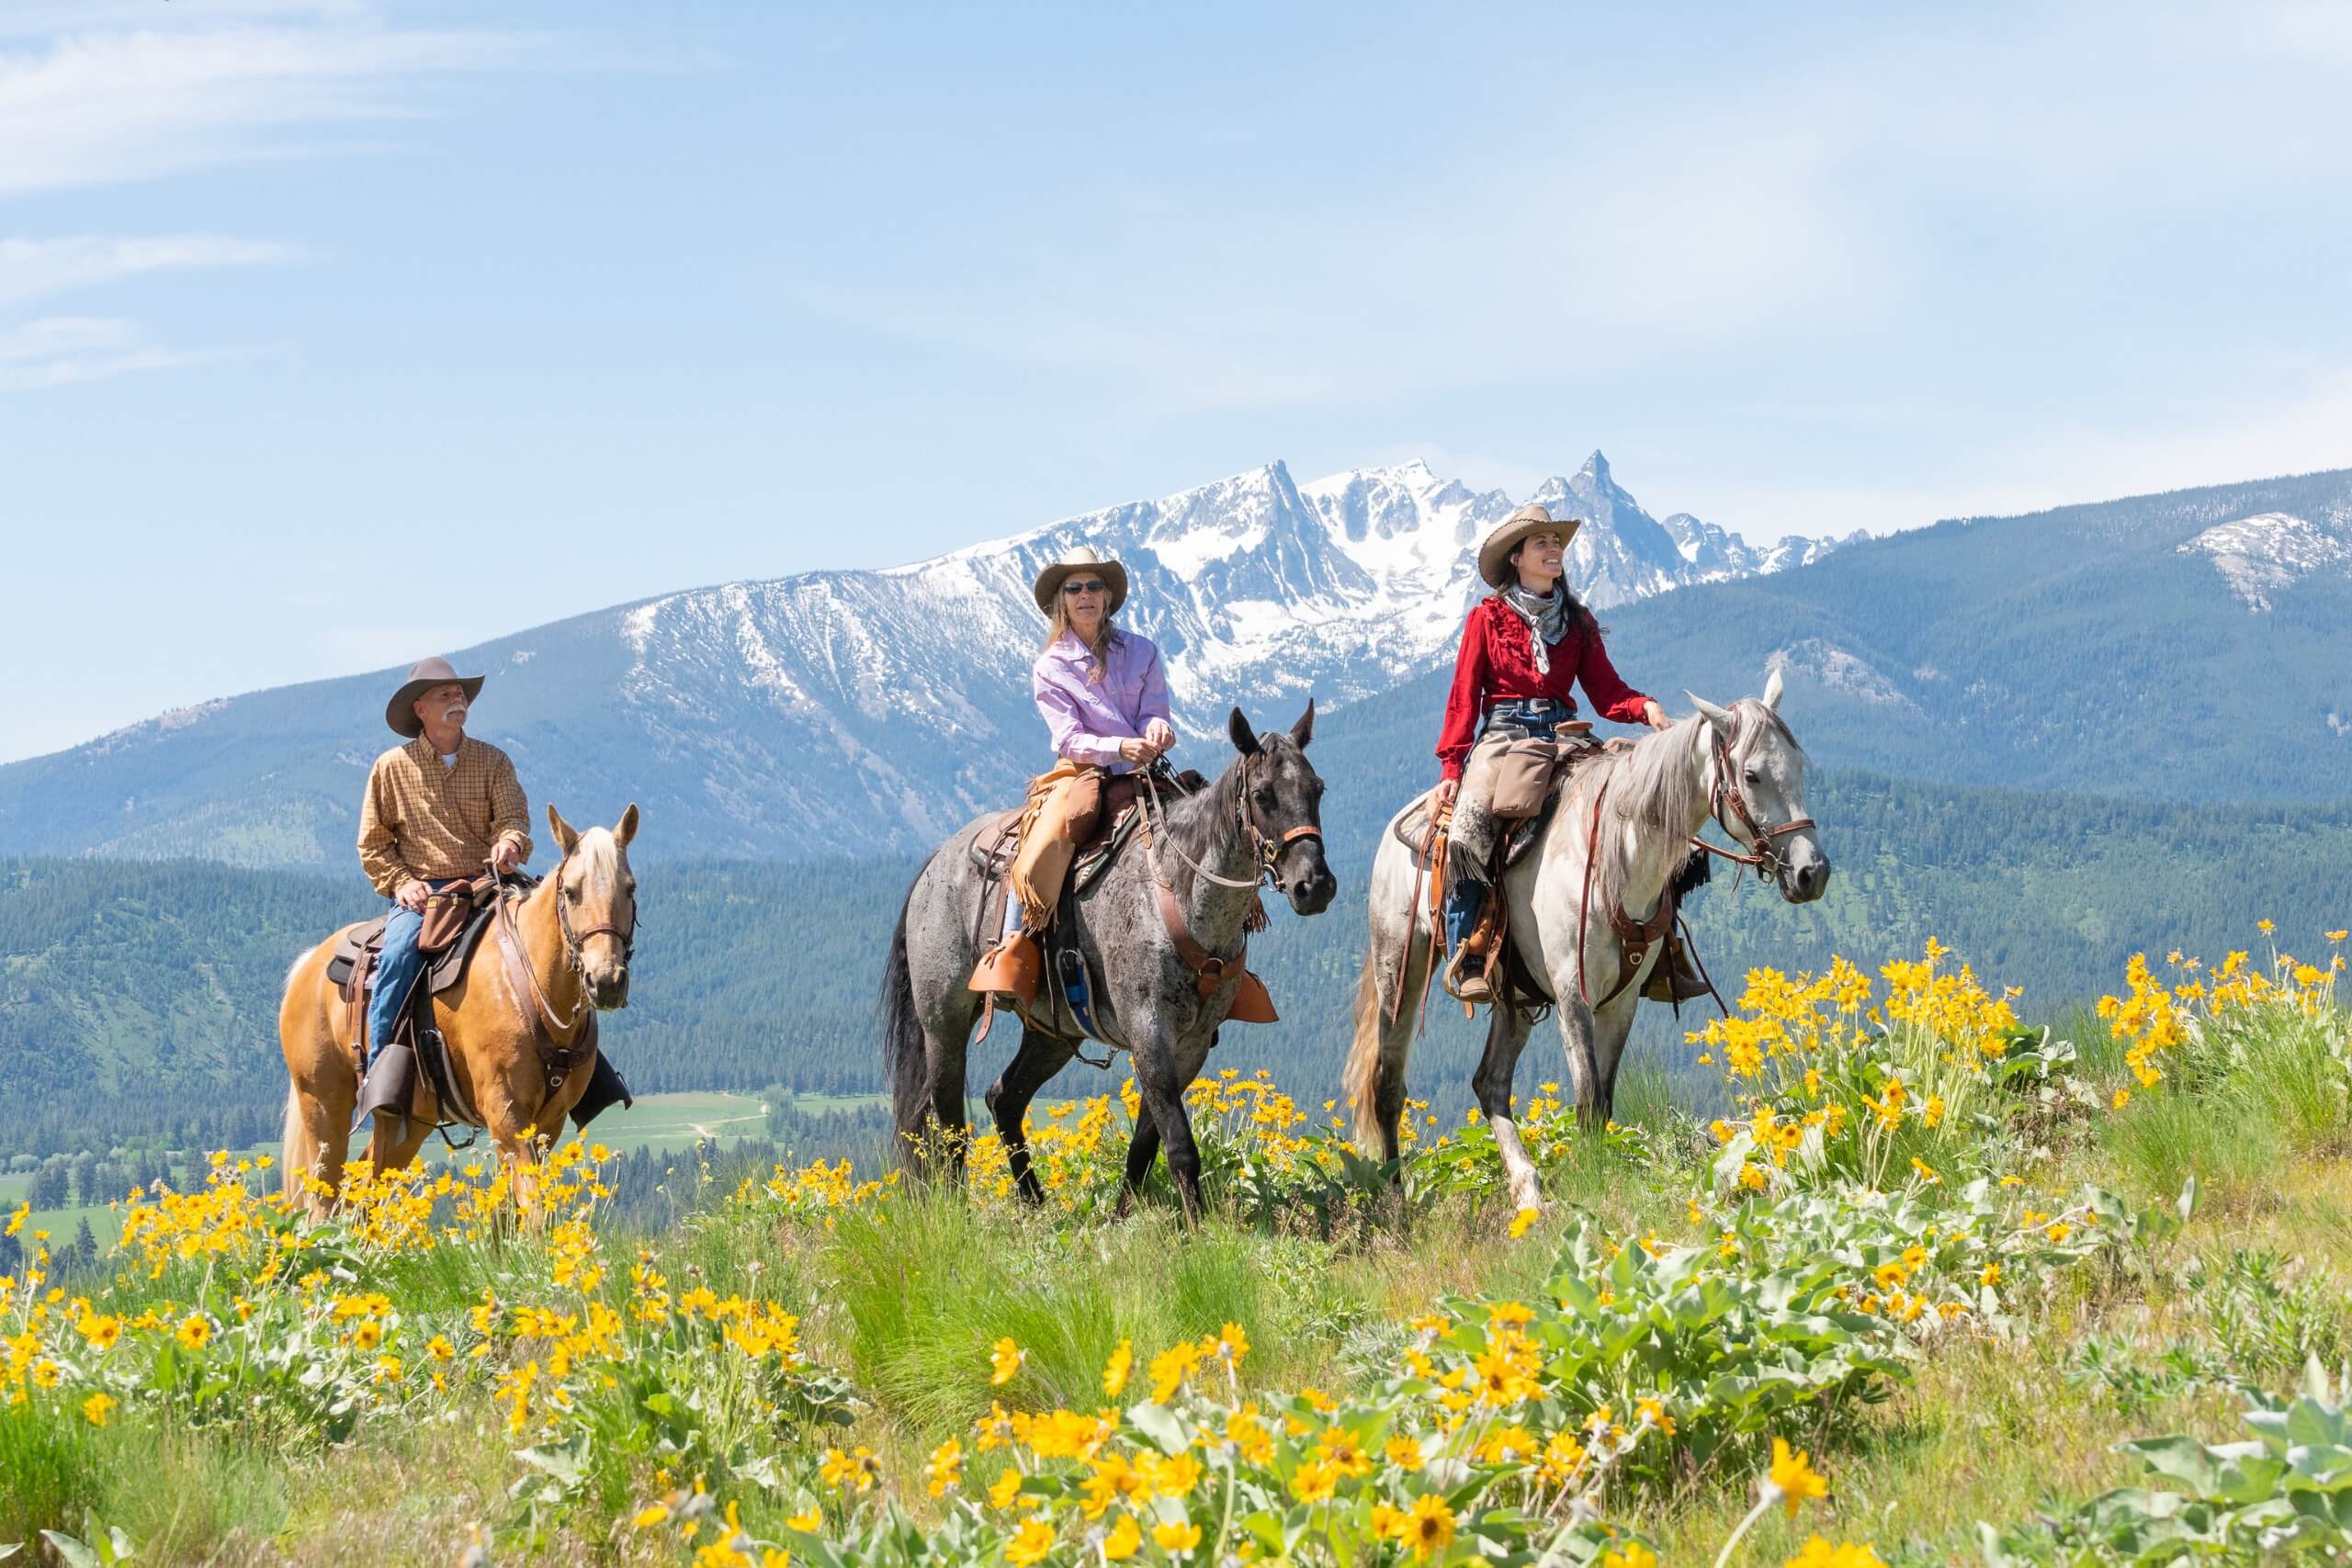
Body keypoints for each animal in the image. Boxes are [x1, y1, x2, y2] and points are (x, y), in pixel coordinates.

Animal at [275, 804, 639, 1222]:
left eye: (630, 888)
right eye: (571, 892)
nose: (606, 981)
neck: (531, 987)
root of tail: (308, 965)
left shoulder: (549, 1122)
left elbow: (520, 1211)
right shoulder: (506, 1114)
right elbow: (531, 1208)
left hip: (406, 1120)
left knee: (367, 1188)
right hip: (322, 1104)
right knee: (325, 1196)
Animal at [884, 700, 1336, 1222]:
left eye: (1317, 788)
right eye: (1263, 795)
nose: (1315, 886)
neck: (1177, 893)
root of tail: (938, 860)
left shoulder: (1192, 1044)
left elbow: (1147, 1141)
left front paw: (1123, 1215)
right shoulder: (1148, 1029)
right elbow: (1179, 1143)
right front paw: (1198, 1228)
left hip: (1052, 1032)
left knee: (1004, 1098)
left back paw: (1035, 1201)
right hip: (944, 1021)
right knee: (949, 1119)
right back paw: (959, 1206)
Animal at [1345, 671, 1834, 1213]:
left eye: (1798, 766)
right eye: (1751, 775)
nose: (1812, 872)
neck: (1616, 859)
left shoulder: (1620, 1002)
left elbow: (1602, 1102)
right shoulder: (1573, 995)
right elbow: (1585, 1100)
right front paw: (1590, 1184)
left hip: (1516, 996)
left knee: (1489, 1082)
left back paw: (1527, 1187)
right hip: (1400, 968)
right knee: (1388, 1083)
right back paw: (1396, 1196)